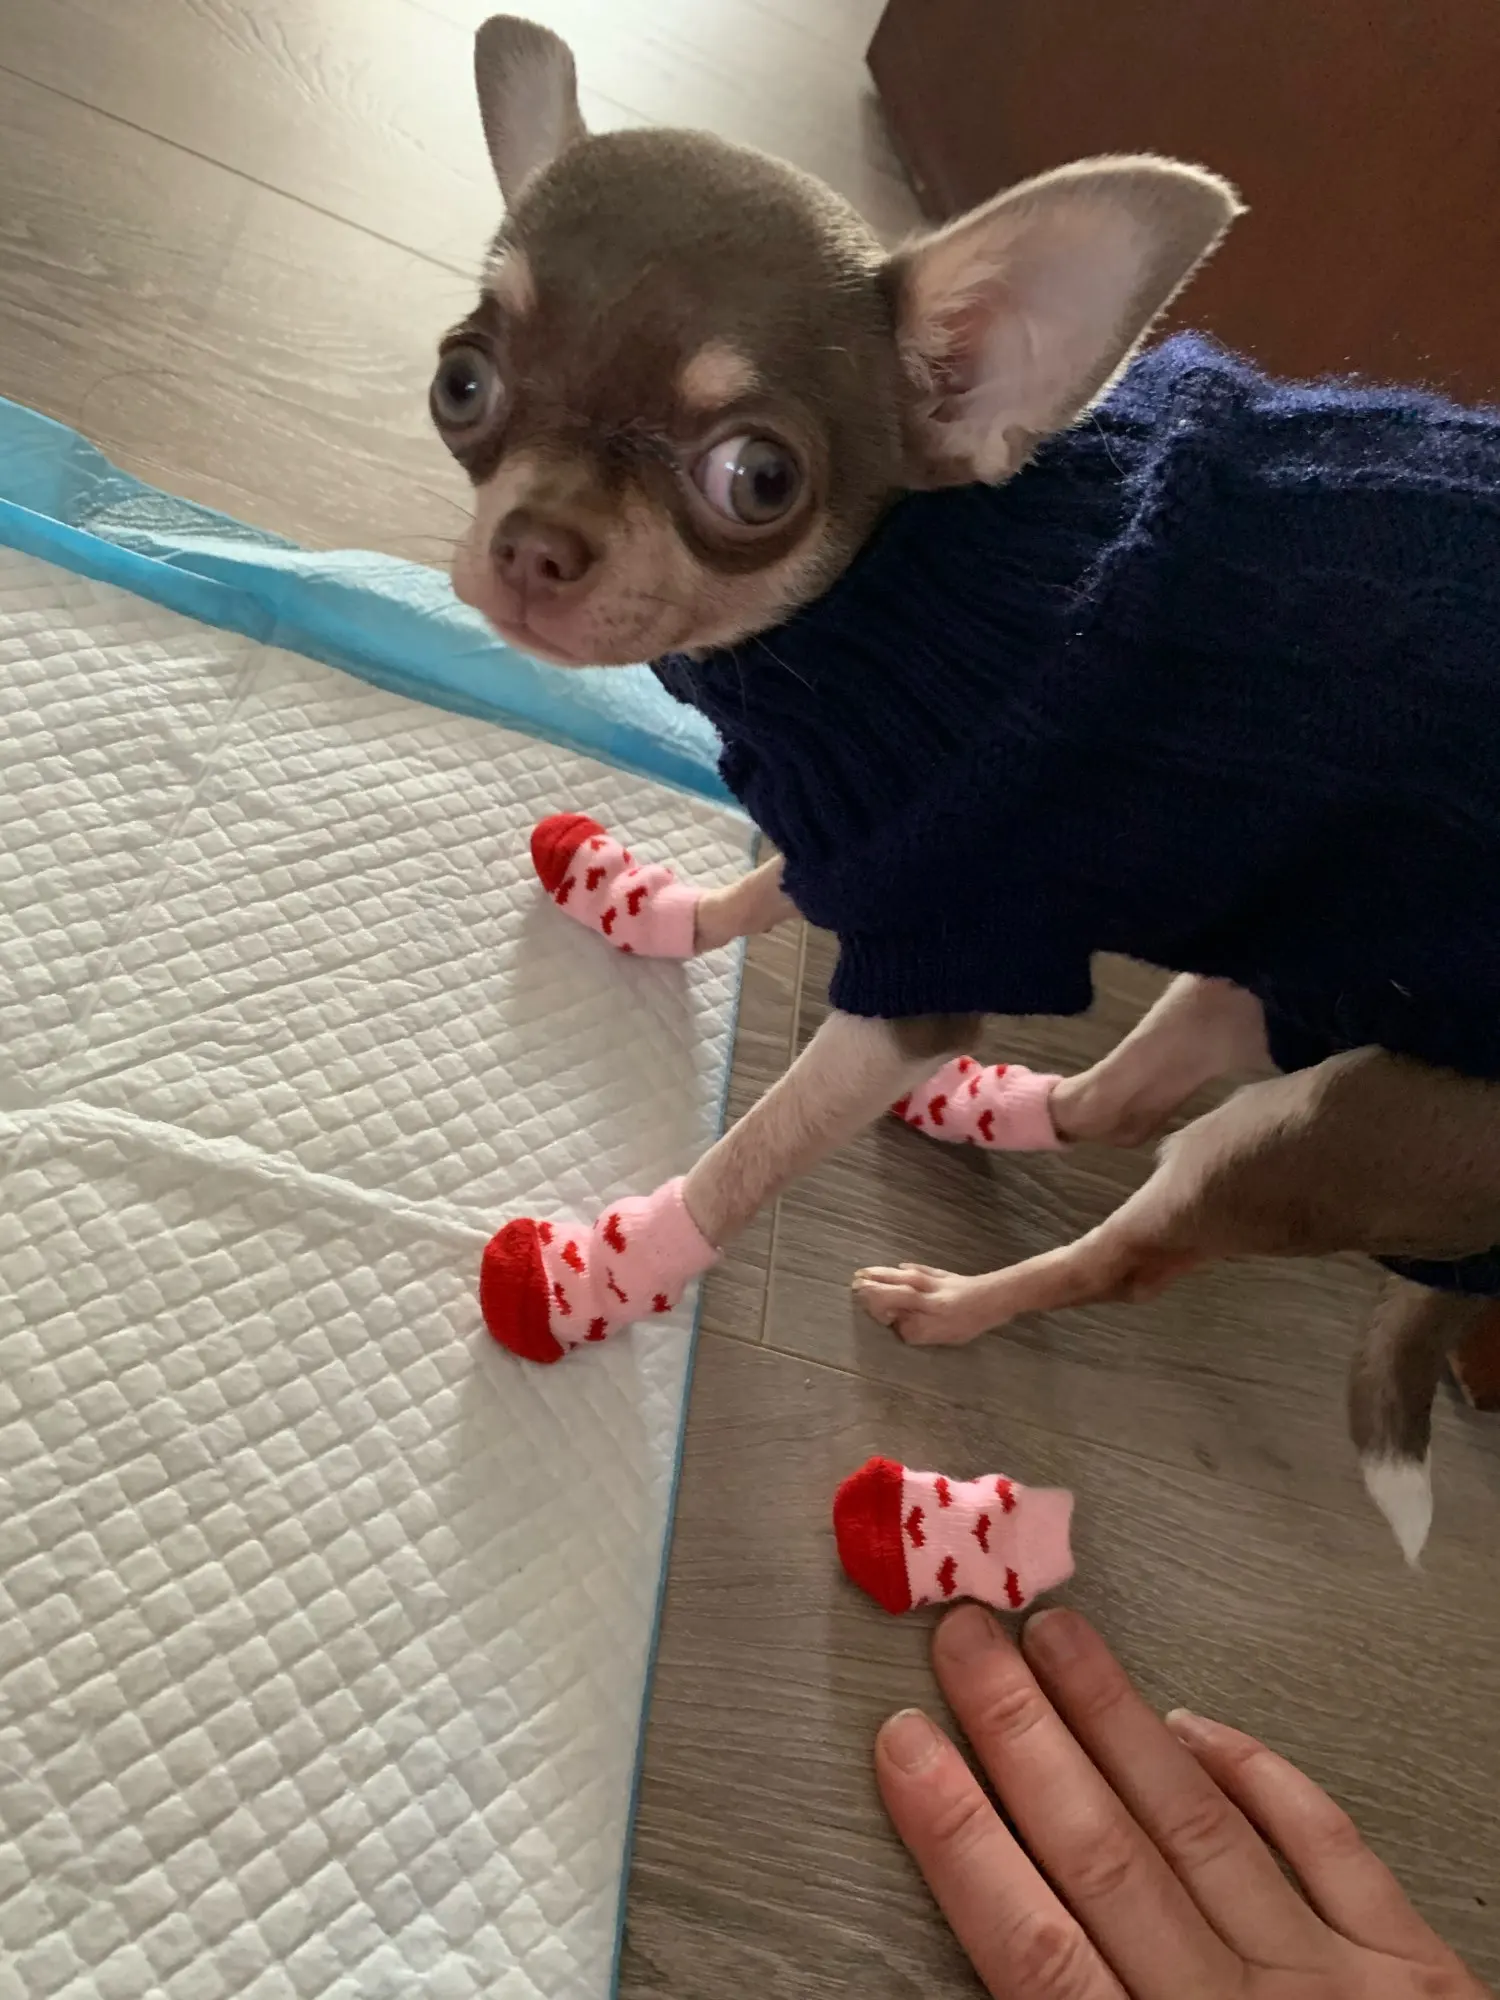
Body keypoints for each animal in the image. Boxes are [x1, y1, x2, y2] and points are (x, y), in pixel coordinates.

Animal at [431, 15, 1500, 1562]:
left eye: (759, 478)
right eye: (463, 382)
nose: (531, 544)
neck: (888, 601)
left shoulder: (927, 943)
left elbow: (753, 1152)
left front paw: (613, 1268)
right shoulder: (895, 825)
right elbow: (768, 882)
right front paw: (653, 905)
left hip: (1345, 1126)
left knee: (1131, 1246)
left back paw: (953, 1308)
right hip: (1269, 977)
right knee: (1118, 1104)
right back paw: (979, 1103)